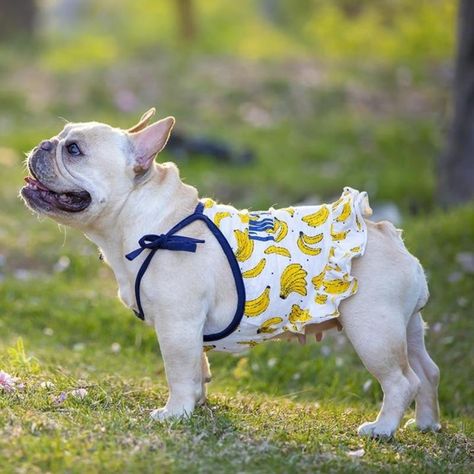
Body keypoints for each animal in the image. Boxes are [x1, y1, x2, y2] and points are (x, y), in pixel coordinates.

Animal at [18, 108, 440, 436]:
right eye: (60, 140)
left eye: (74, 150)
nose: (43, 144)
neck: (145, 218)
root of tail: (387, 235)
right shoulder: (186, 330)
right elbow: (197, 368)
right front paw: (197, 404)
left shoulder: (177, 324)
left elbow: (179, 370)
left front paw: (175, 413)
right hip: (405, 327)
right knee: (427, 372)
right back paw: (425, 424)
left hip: (372, 329)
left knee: (402, 380)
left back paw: (382, 429)